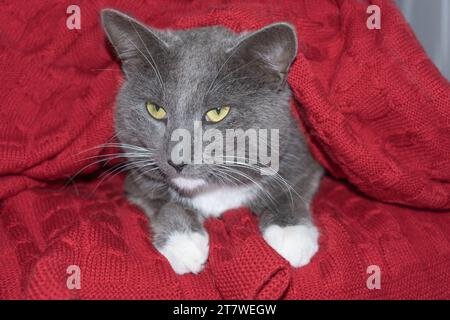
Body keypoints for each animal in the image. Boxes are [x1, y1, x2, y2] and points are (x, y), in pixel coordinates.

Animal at [101, 8, 324, 274]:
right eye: (155, 109)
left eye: (218, 112)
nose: (176, 160)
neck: (213, 191)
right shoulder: (136, 183)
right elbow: (162, 201)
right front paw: (184, 243)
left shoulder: (300, 155)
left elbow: (293, 186)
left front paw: (291, 235)